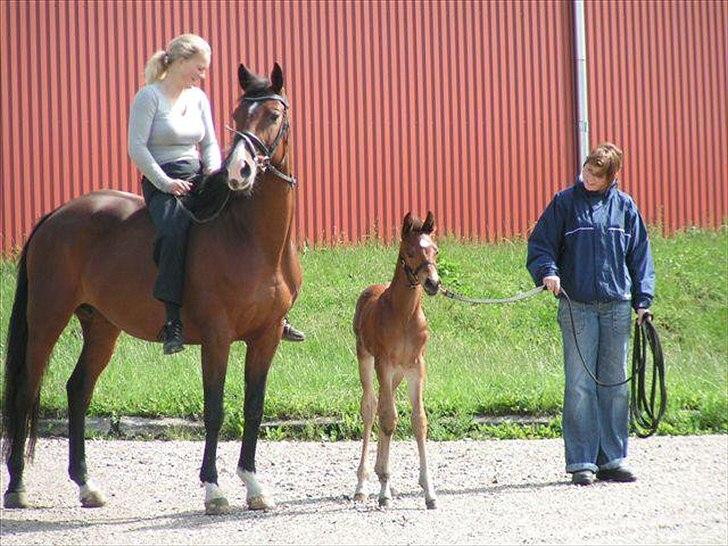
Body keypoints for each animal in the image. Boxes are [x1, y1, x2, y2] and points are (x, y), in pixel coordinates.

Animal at [2, 61, 298, 512]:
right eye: (237, 114)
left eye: (274, 115)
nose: (239, 171)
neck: (251, 237)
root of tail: (56, 215)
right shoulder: (217, 337)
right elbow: (215, 409)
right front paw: (213, 489)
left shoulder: (266, 337)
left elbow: (254, 407)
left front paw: (253, 485)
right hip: (47, 319)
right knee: (26, 390)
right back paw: (17, 485)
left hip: (101, 326)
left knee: (78, 390)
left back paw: (85, 484)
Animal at [352, 210, 438, 508]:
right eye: (410, 252)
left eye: (435, 250)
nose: (433, 283)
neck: (404, 315)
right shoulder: (384, 363)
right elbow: (389, 418)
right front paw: (383, 490)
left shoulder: (417, 367)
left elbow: (418, 421)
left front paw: (429, 491)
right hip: (367, 360)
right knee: (370, 408)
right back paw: (363, 484)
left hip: (397, 374)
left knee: (380, 406)